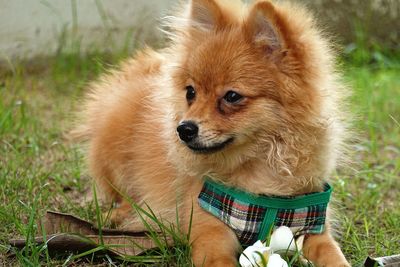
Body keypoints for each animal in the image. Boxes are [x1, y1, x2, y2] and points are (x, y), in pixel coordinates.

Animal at [75, 0, 350, 266]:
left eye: (232, 96)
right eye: (191, 93)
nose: (183, 129)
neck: (259, 168)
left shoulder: (312, 227)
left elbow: (335, 257)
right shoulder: (210, 234)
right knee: (119, 194)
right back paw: (120, 214)